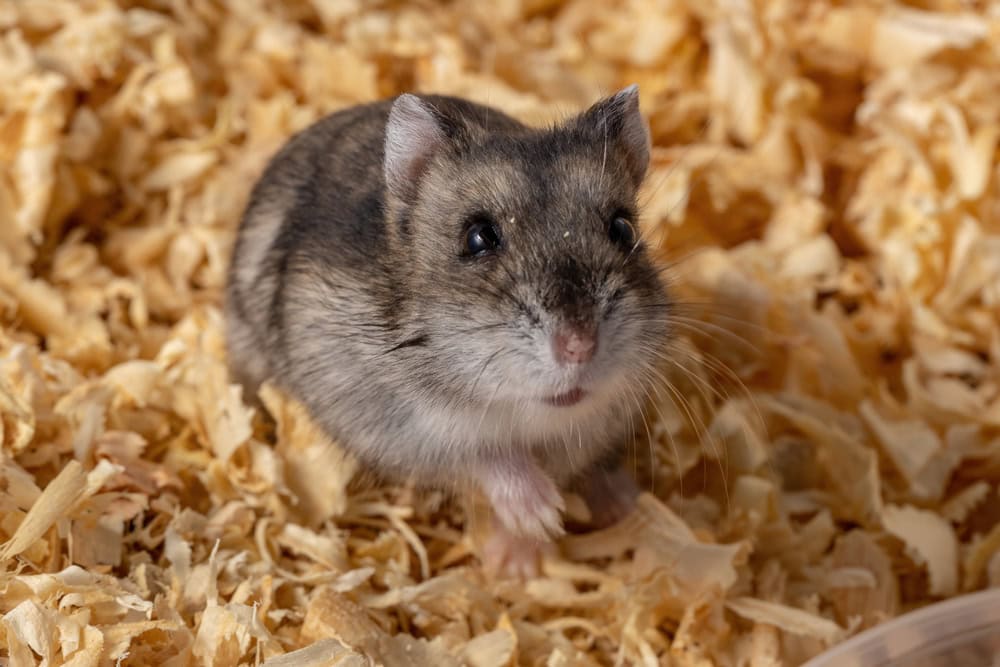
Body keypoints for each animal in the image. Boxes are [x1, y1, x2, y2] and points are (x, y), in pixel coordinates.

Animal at [224, 85, 672, 575]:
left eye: (622, 228)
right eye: (478, 237)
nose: (579, 346)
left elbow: (591, 456)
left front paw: (630, 507)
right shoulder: (402, 426)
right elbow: (485, 454)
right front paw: (536, 528)